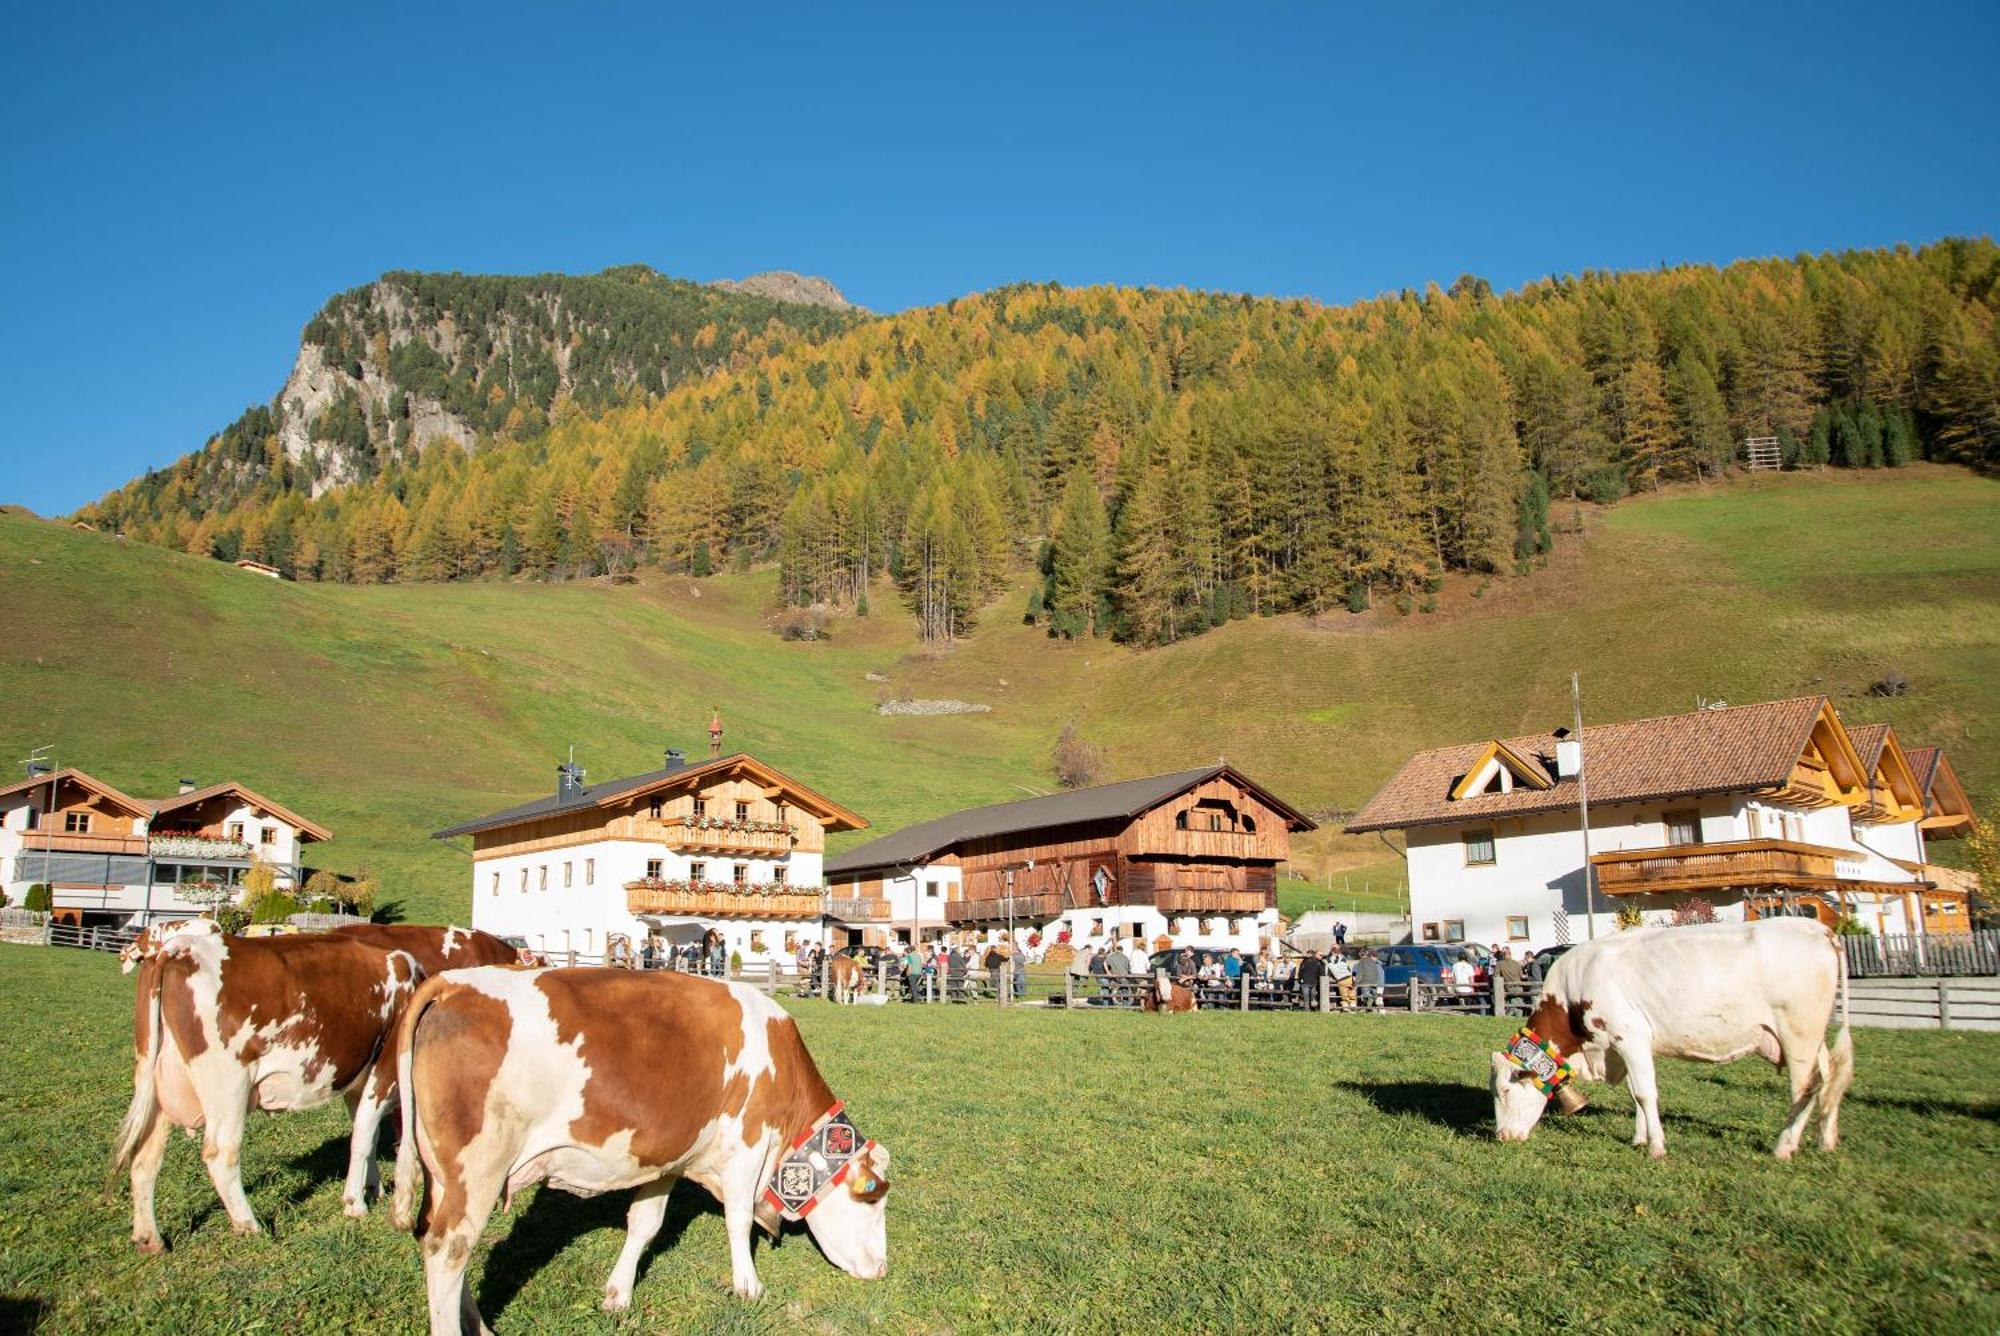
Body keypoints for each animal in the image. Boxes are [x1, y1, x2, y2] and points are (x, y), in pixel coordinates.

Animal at [113, 924, 422, 1248]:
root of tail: (178, 948)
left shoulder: (358, 1076)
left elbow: (367, 1134)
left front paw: (373, 1188)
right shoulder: (385, 1066)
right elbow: (363, 1134)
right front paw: (355, 1203)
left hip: (154, 1080)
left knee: (144, 1159)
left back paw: (150, 1239)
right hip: (229, 1085)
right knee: (220, 1154)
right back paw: (249, 1224)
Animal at [390, 964, 892, 1328]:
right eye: (872, 1199)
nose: (883, 1270)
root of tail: (454, 983)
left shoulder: (666, 1158)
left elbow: (645, 1225)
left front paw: (619, 1293)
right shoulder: (747, 1146)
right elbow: (738, 1219)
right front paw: (748, 1286)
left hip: (443, 1175)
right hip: (478, 1169)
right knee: (448, 1250)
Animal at [1496, 920, 1848, 1160]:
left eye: (1504, 1090)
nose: (1503, 1136)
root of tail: (1817, 928)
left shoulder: (1629, 1035)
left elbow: (1644, 1094)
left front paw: (1656, 1146)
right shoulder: (1625, 1044)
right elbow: (1635, 1093)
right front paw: (1639, 1138)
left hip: (1797, 1034)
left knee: (1804, 1089)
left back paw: (1784, 1146)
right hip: (1813, 1039)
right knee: (1830, 1079)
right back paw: (1826, 1139)